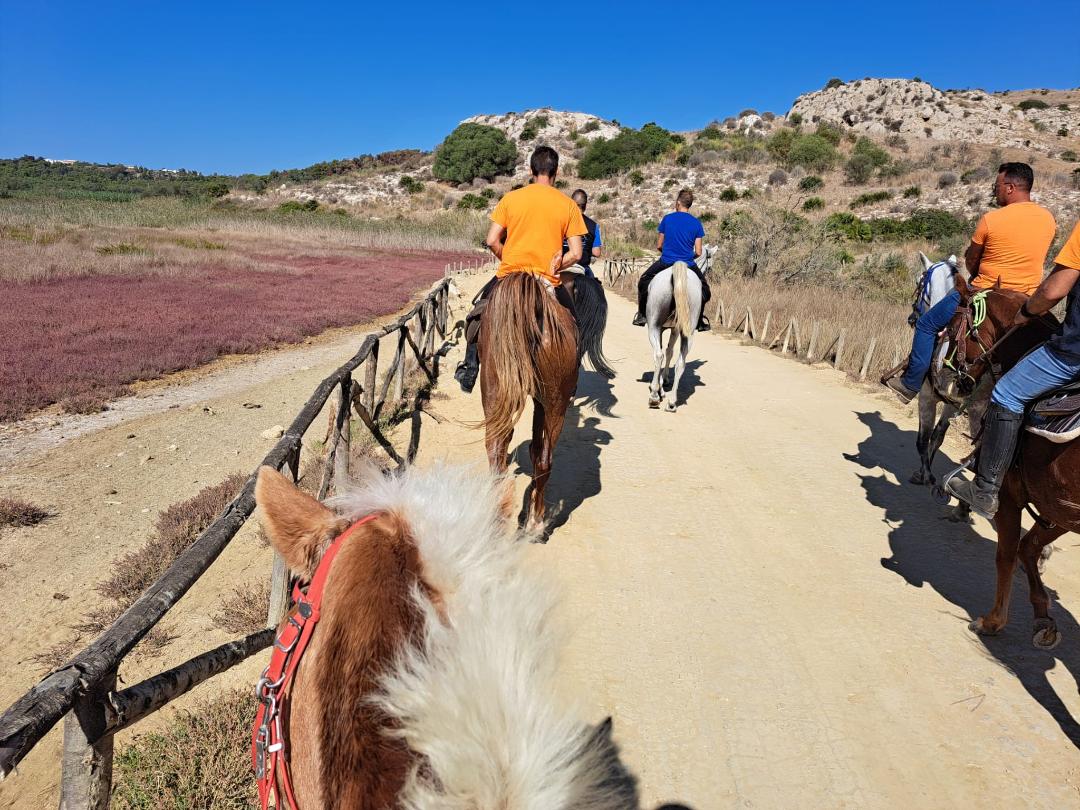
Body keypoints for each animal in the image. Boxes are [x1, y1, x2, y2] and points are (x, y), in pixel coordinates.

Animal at [479, 270, 613, 529]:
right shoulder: (542, 402)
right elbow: (535, 447)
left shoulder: (536, 402)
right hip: (553, 403)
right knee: (543, 460)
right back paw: (535, 520)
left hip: (495, 393)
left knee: (496, 449)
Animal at [643, 246, 712, 412]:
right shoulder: (675, 329)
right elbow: (670, 351)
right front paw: (663, 383)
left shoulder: (664, 329)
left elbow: (666, 352)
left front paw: (660, 385)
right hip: (688, 333)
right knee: (681, 363)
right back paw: (672, 402)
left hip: (653, 327)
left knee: (658, 355)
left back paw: (654, 397)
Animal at [937, 282, 1071, 652]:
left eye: (953, 325)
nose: (952, 378)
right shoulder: (1059, 510)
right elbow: (1029, 548)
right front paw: (1043, 617)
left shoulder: (1010, 498)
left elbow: (1008, 554)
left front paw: (993, 621)